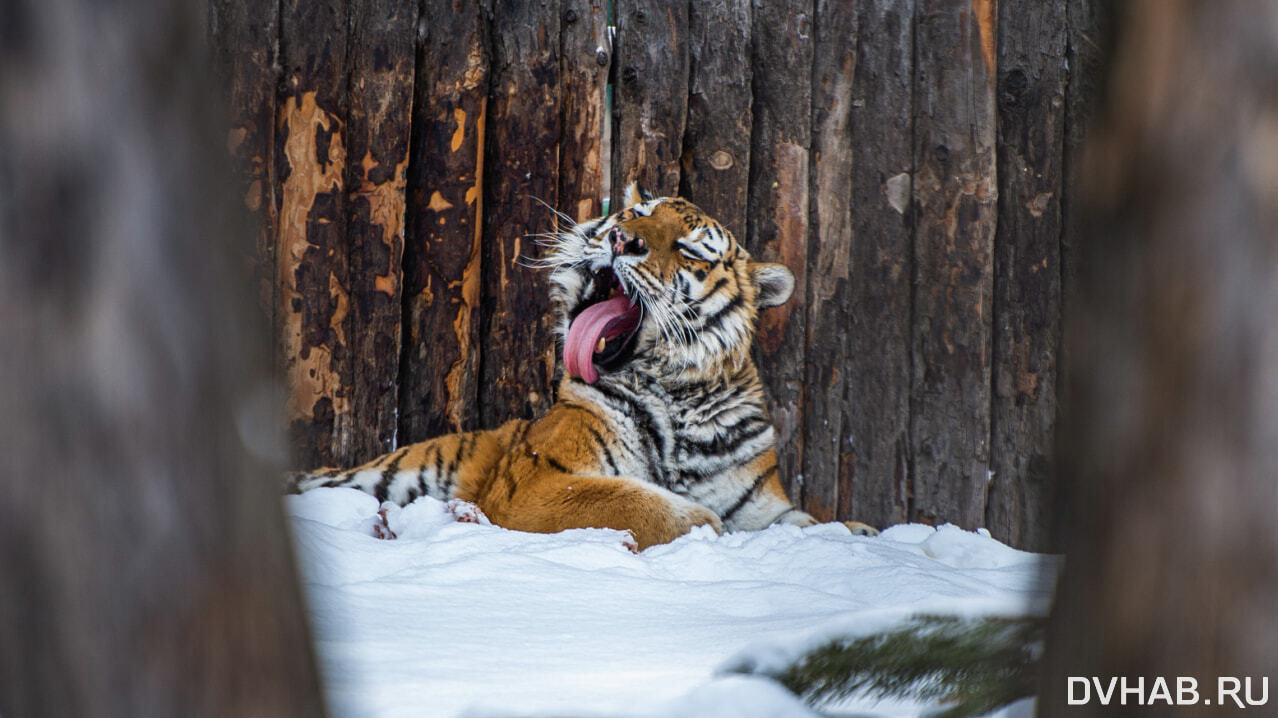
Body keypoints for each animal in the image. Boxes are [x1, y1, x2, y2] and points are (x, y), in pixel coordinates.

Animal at [287, 181, 879, 544]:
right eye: (639, 214)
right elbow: (639, 503)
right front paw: (704, 527)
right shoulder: (543, 481)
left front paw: (866, 535)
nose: (621, 238)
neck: (679, 397)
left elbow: (810, 524)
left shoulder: (762, 506)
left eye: (688, 248)